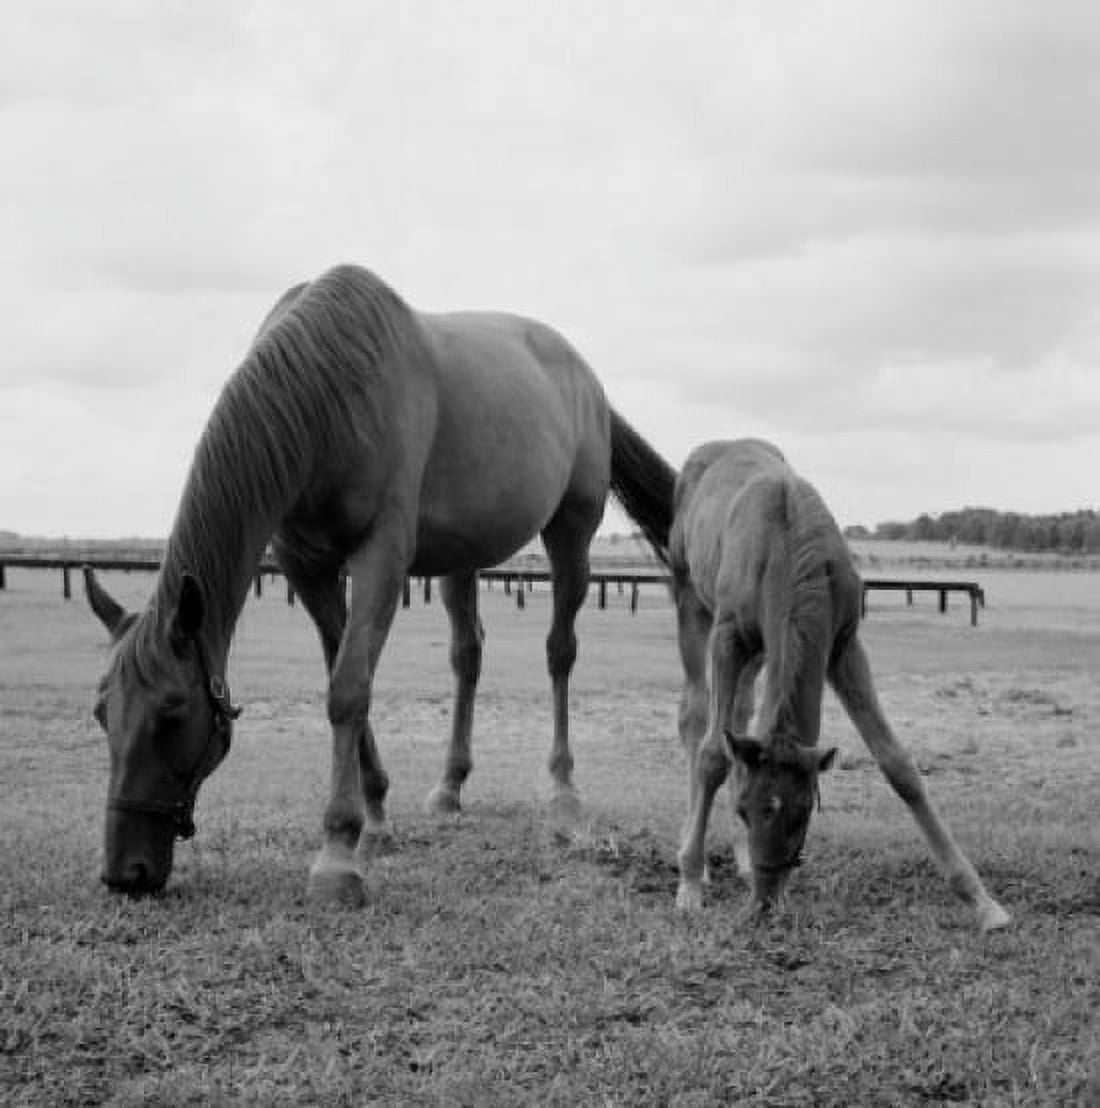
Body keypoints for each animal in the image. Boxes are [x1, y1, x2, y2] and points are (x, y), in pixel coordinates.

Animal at [83, 263, 675, 906]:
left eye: (172, 713)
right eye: (102, 713)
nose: (125, 873)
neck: (330, 390)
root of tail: (587, 381)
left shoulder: (381, 557)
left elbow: (348, 689)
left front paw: (338, 854)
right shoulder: (307, 568)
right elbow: (346, 677)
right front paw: (375, 820)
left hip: (572, 531)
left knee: (559, 653)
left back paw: (563, 794)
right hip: (461, 559)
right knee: (468, 655)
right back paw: (449, 787)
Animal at [669, 438, 1010, 931]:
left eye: (802, 812)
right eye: (744, 810)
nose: (764, 906)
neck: (786, 541)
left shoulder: (843, 644)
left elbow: (897, 763)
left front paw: (982, 901)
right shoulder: (728, 635)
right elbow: (713, 755)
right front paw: (691, 885)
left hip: (759, 652)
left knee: (741, 715)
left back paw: (741, 861)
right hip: (693, 606)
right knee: (696, 718)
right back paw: (698, 861)